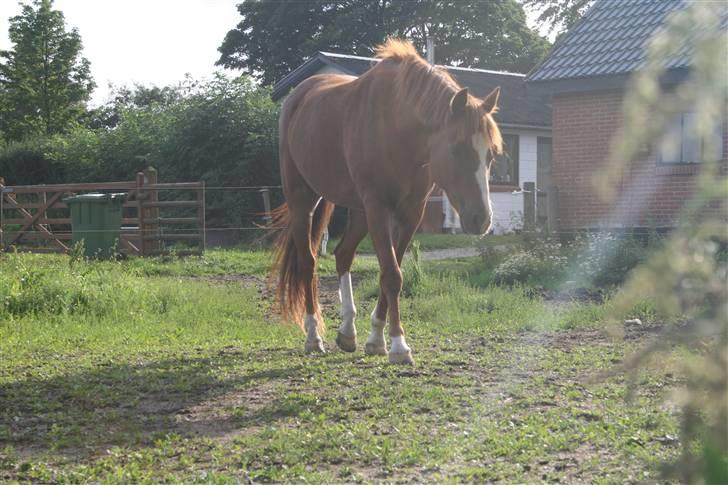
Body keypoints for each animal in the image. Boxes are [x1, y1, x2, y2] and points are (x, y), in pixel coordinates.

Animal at [272, 38, 500, 364]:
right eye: (457, 149)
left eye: (491, 154)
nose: (481, 219)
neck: (397, 128)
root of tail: (297, 97)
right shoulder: (378, 207)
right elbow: (392, 274)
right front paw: (398, 346)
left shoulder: (410, 212)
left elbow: (390, 272)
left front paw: (376, 339)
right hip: (303, 200)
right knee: (308, 262)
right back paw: (314, 336)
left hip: (358, 211)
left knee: (343, 255)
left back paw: (347, 332)